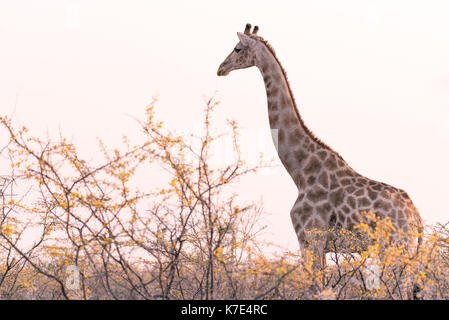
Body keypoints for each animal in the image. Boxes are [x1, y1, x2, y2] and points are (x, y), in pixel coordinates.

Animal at [217, 23, 424, 298]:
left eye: (237, 48)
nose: (221, 68)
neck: (301, 171)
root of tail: (417, 218)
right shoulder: (319, 245)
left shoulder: (310, 239)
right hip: (406, 253)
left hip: (395, 249)